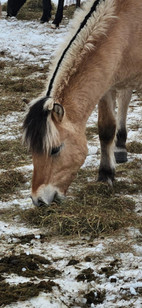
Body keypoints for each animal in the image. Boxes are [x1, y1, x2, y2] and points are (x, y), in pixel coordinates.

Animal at [23, 0, 142, 207]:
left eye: (55, 149)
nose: (38, 200)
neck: (128, 24)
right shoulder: (105, 83)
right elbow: (106, 129)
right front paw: (105, 175)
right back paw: (120, 147)